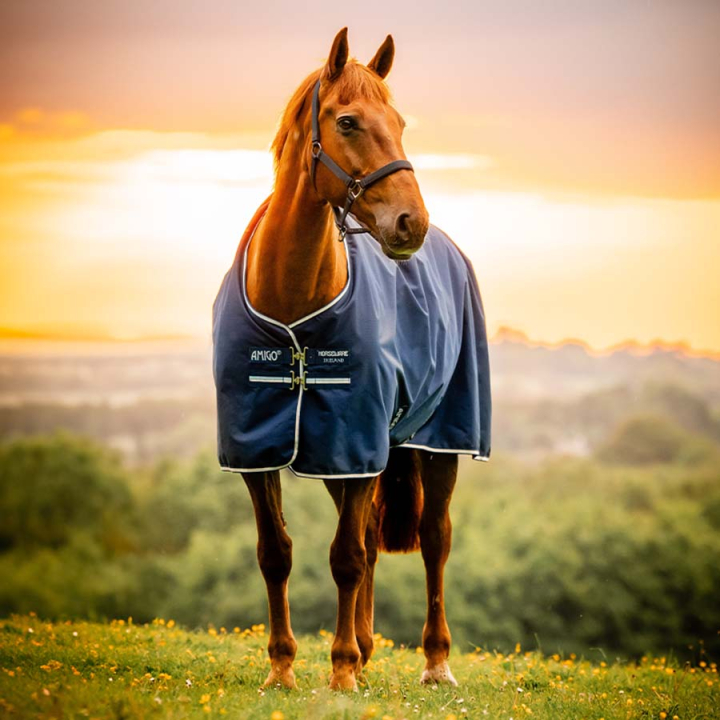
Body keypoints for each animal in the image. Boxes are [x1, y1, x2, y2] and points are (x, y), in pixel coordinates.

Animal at [212, 28, 491, 691]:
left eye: (400, 122)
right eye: (347, 121)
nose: (410, 223)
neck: (292, 305)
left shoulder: (356, 441)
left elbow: (346, 557)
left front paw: (339, 673)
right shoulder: (262, 448)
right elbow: (276, 553)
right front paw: (283, 669)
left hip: (437, 440)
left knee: (434, 538)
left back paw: (434, 661)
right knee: (365, 534)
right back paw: (364, 648)